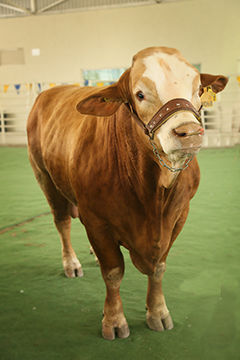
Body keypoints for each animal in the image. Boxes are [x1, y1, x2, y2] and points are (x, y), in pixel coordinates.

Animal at [27, 46, 228, 338]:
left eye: (198, 88)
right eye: (140, 94)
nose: (189, 132)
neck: (152, 195)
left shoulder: (179, 216)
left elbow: (158, 268)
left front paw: (157, 312)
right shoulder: (96, 219)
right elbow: (113, 272)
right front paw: (113, 320)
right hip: (45, 177)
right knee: (62, 222)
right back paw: (71, 263)